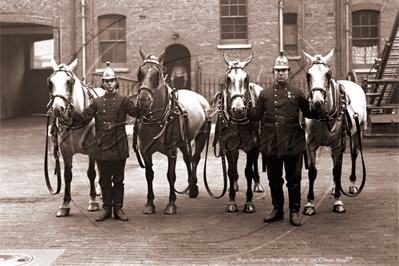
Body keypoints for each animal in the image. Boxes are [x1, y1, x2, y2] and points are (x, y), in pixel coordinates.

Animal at [135, 47, 211, 214]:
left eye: (157, 74)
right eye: (140, 72)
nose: (143, 99)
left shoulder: (171, 150)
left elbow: (171, 175)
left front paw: (171, 203)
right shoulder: (145, 151)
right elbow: (149, 175)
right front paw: (149, 203)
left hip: (201, 137)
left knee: (195, 159)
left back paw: (193, 187)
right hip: (183, 142)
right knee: (188, 158)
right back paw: (191, 186)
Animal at [212, 53, 266, 213]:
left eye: (246, 78)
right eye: (227, 79)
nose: (238, 109)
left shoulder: (252, 146)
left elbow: (248, 171)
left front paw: (249, 202)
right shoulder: (229, 146)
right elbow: (230, 171)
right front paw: (231, 201)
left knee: (254, 163)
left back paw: (257, 183)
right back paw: (234, 184)